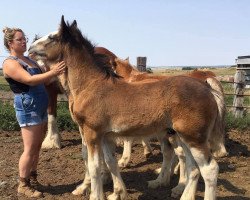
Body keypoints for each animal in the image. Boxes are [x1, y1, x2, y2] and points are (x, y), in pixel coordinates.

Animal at [29, 16, 219, 199]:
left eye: (53, 37)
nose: (31, 47)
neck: (90, 85)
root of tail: (207, 89)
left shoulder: (92, 133)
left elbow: (94, 165)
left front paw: (95, 195)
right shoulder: (106, 136)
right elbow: (110, 162)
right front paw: (118, 193)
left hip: (194, 137)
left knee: (209, 169)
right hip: (183, 136)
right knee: (193, 167)